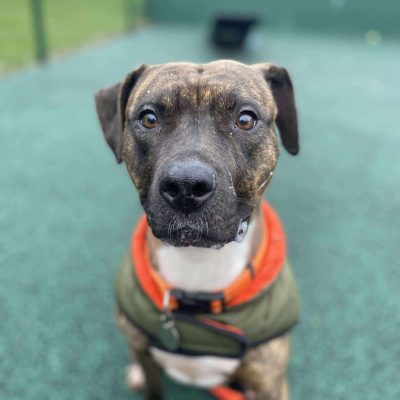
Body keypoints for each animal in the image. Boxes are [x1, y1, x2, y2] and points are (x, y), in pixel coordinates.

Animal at [95, 60, 300, 400]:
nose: (186, 186)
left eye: (246, 119)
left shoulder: (268, 382)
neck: (198, 264)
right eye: (149, 118)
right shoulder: (149, 360)